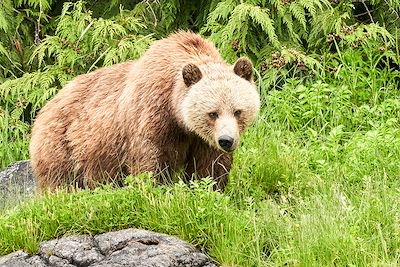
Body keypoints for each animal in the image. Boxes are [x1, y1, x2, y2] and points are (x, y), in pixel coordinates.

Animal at [29, 31, 260, 192]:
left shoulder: (202, 140)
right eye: (212, 113)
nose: (226, 140)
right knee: (59, 180)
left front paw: (209, 189)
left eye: (238, 111)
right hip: (63, 144)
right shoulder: (152, 113)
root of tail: (45, 106)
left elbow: (210, 166)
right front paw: (153, 188)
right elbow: (149, 158)